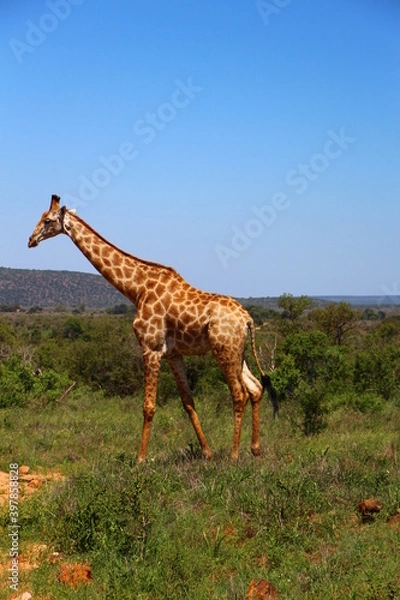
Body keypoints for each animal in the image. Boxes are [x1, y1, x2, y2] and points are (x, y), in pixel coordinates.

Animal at [28, 195, 278, 462]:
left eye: (48, 220)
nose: (30, 240)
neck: (137, 290)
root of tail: (248, 319)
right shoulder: (172, 354)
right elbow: (188, 401)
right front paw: (206, 452)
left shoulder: (151, 347)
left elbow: (148, 406)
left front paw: (140, 459)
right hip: (238, 352)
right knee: (256, 388)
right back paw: (255, 449)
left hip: (224, 350)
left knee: (239, 393)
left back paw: (233, 455)